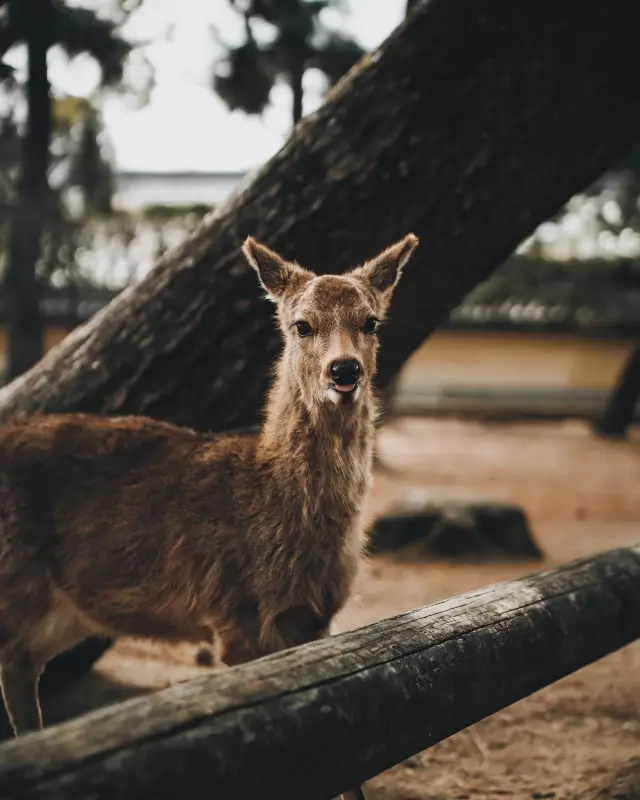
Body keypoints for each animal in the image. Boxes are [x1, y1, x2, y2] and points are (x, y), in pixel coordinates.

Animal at [0, 231, 418, 800]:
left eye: (371, 321)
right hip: (14, 585)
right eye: (301, 324)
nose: (344, 369)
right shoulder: (235, 615)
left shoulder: (316, 620)